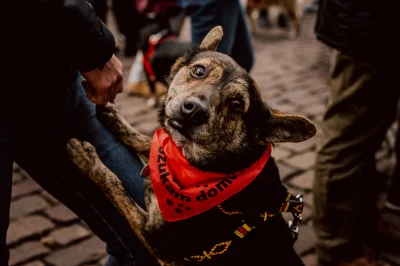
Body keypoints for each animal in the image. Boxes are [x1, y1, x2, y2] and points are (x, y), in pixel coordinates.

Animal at [66, 26, 316, 264]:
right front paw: (116, 121)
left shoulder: (156, 242)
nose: (193, 109)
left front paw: (86, 159)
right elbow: (150, 141)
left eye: (236, 105)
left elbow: (113, 184)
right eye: (198, 71)